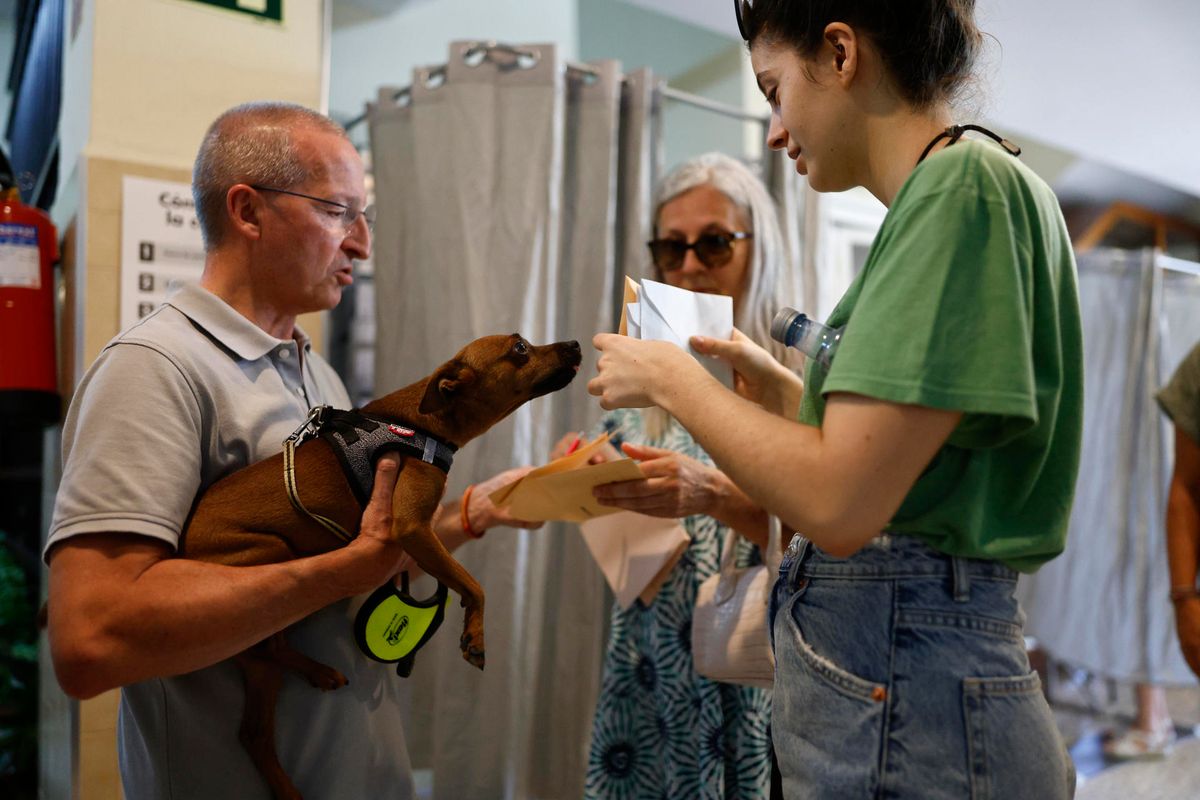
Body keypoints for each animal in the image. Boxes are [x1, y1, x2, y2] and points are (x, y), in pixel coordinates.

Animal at [178, 335, 585, 796]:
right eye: (519, 348)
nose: (575, 343)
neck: (424, 424)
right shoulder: (412, 528)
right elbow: (474, 585)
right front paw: (475, 635)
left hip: (263, 661)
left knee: (256, 726)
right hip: (273, 554)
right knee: (269, 649)